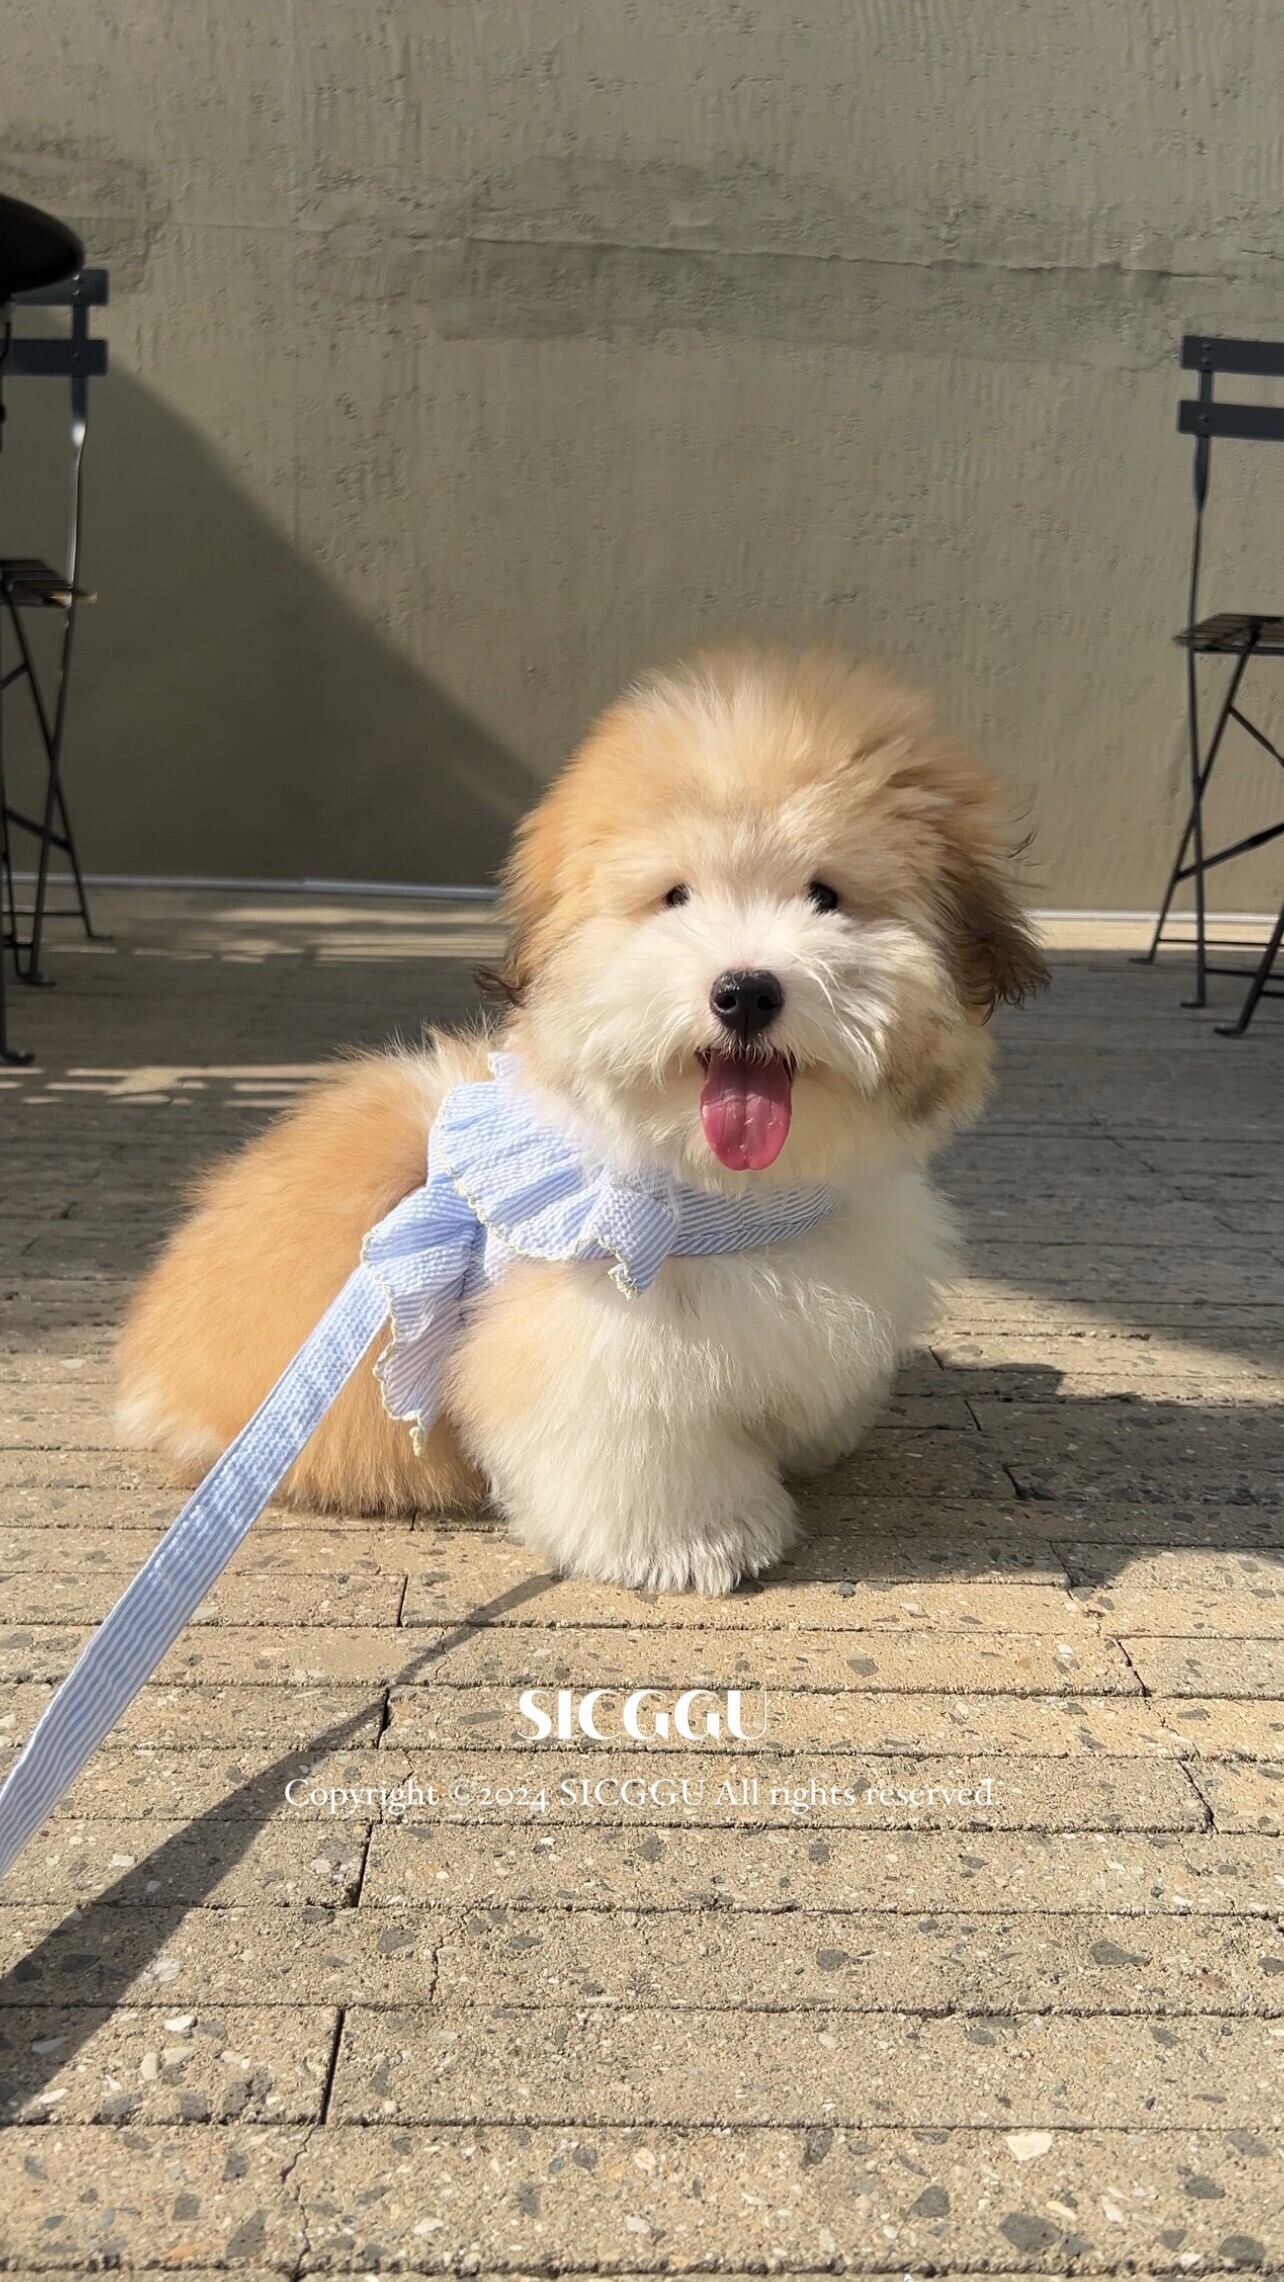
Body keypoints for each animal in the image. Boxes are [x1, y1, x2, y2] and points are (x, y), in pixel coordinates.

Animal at [117, 645, 1046, 1592]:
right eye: (675, 898)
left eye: (825, 895)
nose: (745, 990)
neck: (732, 1197)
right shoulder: (599, 1343)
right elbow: (635, 1446)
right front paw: (695, 1543)